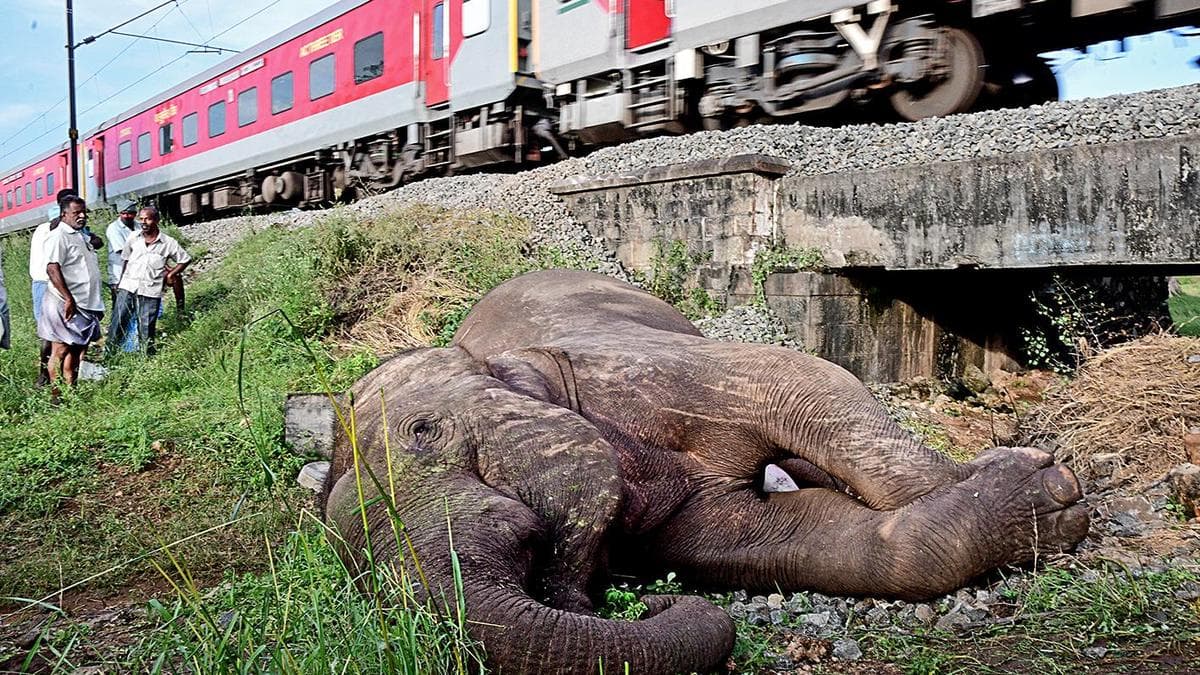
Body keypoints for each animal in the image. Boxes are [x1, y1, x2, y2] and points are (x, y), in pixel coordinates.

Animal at [322, 269, 1089, 674]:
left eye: (423, 433)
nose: (647, 603)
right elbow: (788, 538)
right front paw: (1039, 502)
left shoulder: (636, 369)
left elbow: (802, 382)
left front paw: (1045, 487)